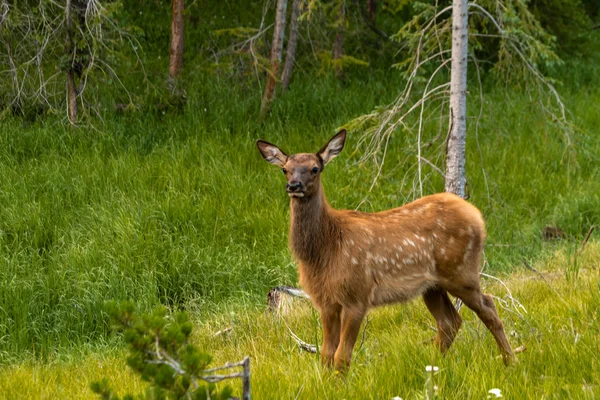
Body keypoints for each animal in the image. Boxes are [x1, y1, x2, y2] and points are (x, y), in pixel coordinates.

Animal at [255, 131, 512, 372]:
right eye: (285, 170)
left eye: (315, 168)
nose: (293, 186)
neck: (326, 250)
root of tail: (477, 216)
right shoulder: (326, 301)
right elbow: (326, 354)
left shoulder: (357, 294)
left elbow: (342, 357)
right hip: (432, 286)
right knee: (450, 322)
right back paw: (433, 367)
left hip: (461, 272)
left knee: (488, 307)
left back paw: (510, 362)